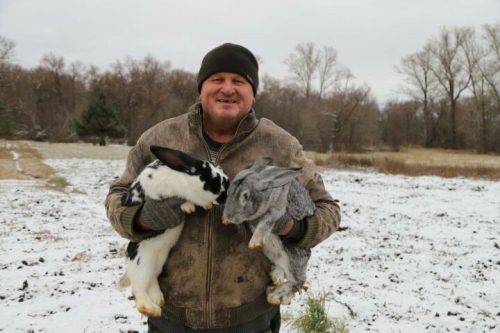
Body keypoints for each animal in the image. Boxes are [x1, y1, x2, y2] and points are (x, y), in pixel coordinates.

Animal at [120, 146, 229, 316]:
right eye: (214, 182)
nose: (227, 196)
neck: (183, 180)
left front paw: (203, 205)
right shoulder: (153, 187)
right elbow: (175, 199)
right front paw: (188, 206)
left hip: (157, 262)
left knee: (152, 280)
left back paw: (158, 299)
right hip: (142, 262)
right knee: (138, 289)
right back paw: (151, 308)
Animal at [222, 157, 314, 304]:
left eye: (245, 196)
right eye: (228, 192)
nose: (230, 215)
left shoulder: (277, 211)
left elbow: (265, 222)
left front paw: (254, 243)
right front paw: (225, 219)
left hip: (293, 256)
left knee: (299, 281)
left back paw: (276, 295)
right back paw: (276, 276)